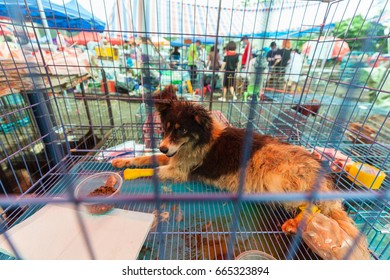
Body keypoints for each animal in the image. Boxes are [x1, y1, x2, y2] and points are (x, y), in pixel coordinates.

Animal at [111, 85, 370, 260]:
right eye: (164, 128)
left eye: (182, 130)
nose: (163, 147)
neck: (199, 139)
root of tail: (325, 179)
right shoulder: (175, 158)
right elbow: (146, 157)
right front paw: (123, 161)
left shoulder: (179, 171)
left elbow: (154, 169)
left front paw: (132, 171)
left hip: (279, 182)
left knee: (311, 206)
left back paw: (295, 223)